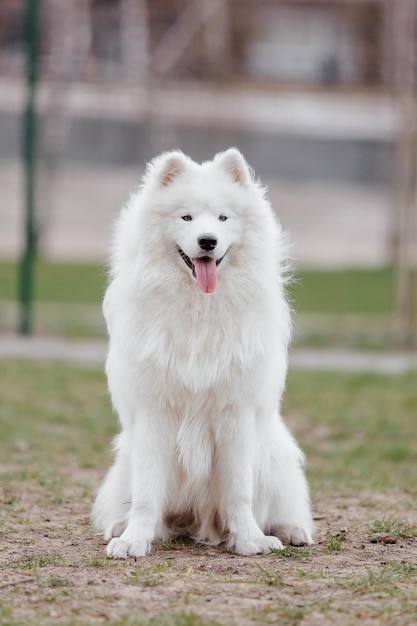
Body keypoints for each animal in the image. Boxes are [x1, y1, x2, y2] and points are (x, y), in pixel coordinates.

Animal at [91, 147, 312, 556]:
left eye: (224, 218)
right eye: (187, 217)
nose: (207, 241)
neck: (199, 306)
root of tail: (196, 520)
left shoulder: (235, 414)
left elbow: (239, 491)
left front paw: (250, 540)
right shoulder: (154, 414)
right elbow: (146, 494)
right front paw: (134, 540)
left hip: (274, 454)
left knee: (279, 506)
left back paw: (290, 530)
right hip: (127, 457)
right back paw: (121, 526)